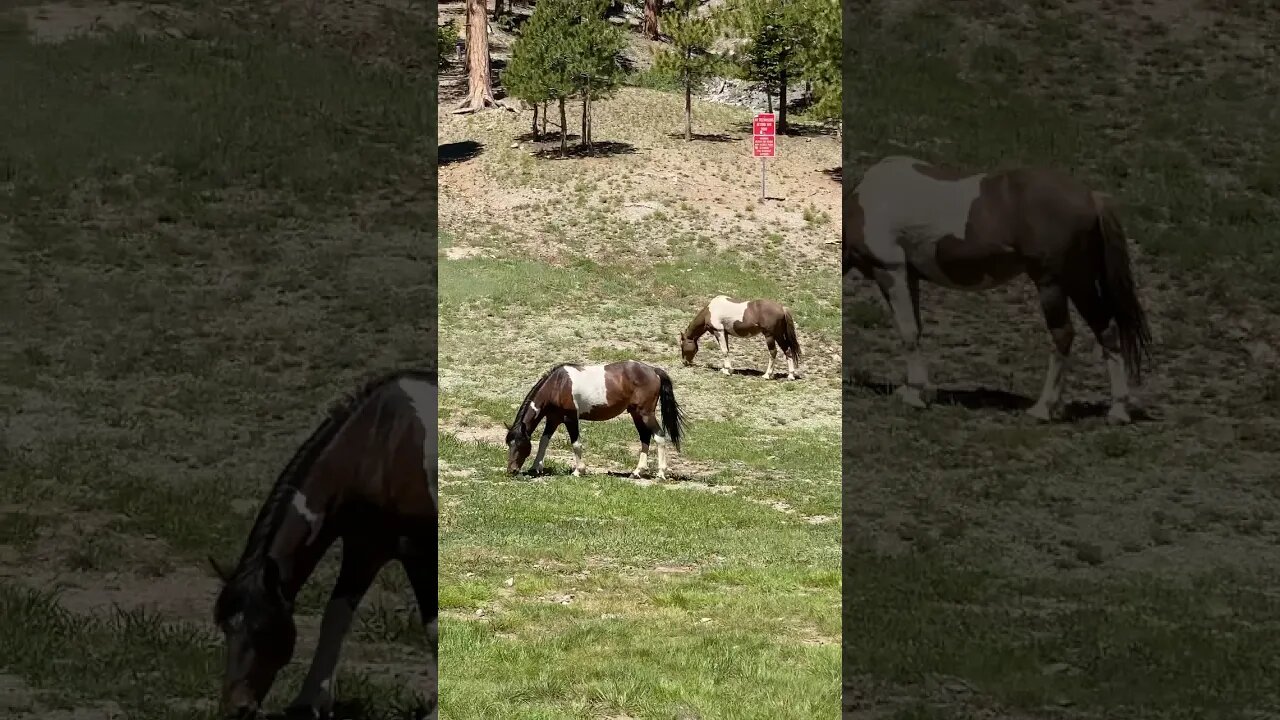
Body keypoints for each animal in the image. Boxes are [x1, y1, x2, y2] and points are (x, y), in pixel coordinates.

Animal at [213, 368, 440, 717]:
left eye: (264, 629)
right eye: (226, 628)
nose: (236, 708)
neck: (380, 447)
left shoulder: (417, 551)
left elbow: (433, 628)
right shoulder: (365, 547)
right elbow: (334, 617)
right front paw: (309, 702)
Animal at [506, 361, 691, 479]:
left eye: (520, 445)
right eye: (509, 444)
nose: (511, 471)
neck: (558, 385)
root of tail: (653, 370)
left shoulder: (570, 418)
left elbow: (576, 444)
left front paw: (579, 471)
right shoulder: (553, 419)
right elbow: (543, 442)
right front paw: (536, 467)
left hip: (646, 414)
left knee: (659, 436)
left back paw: (661, 473)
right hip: (636, 414)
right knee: (645, 437)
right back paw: (637, 472)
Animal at [844, 152, 1157, 420]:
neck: (867, 202)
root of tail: (1091, 198)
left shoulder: (890, 272)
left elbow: (907, 332)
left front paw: (914, 395)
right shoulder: (910, 277)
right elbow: (916, 329)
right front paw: (917, 390)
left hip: (1053, 284)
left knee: (1063, 335)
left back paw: (1043, 408)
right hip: (1080, 282)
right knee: (1106, 330)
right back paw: (1117, 411)